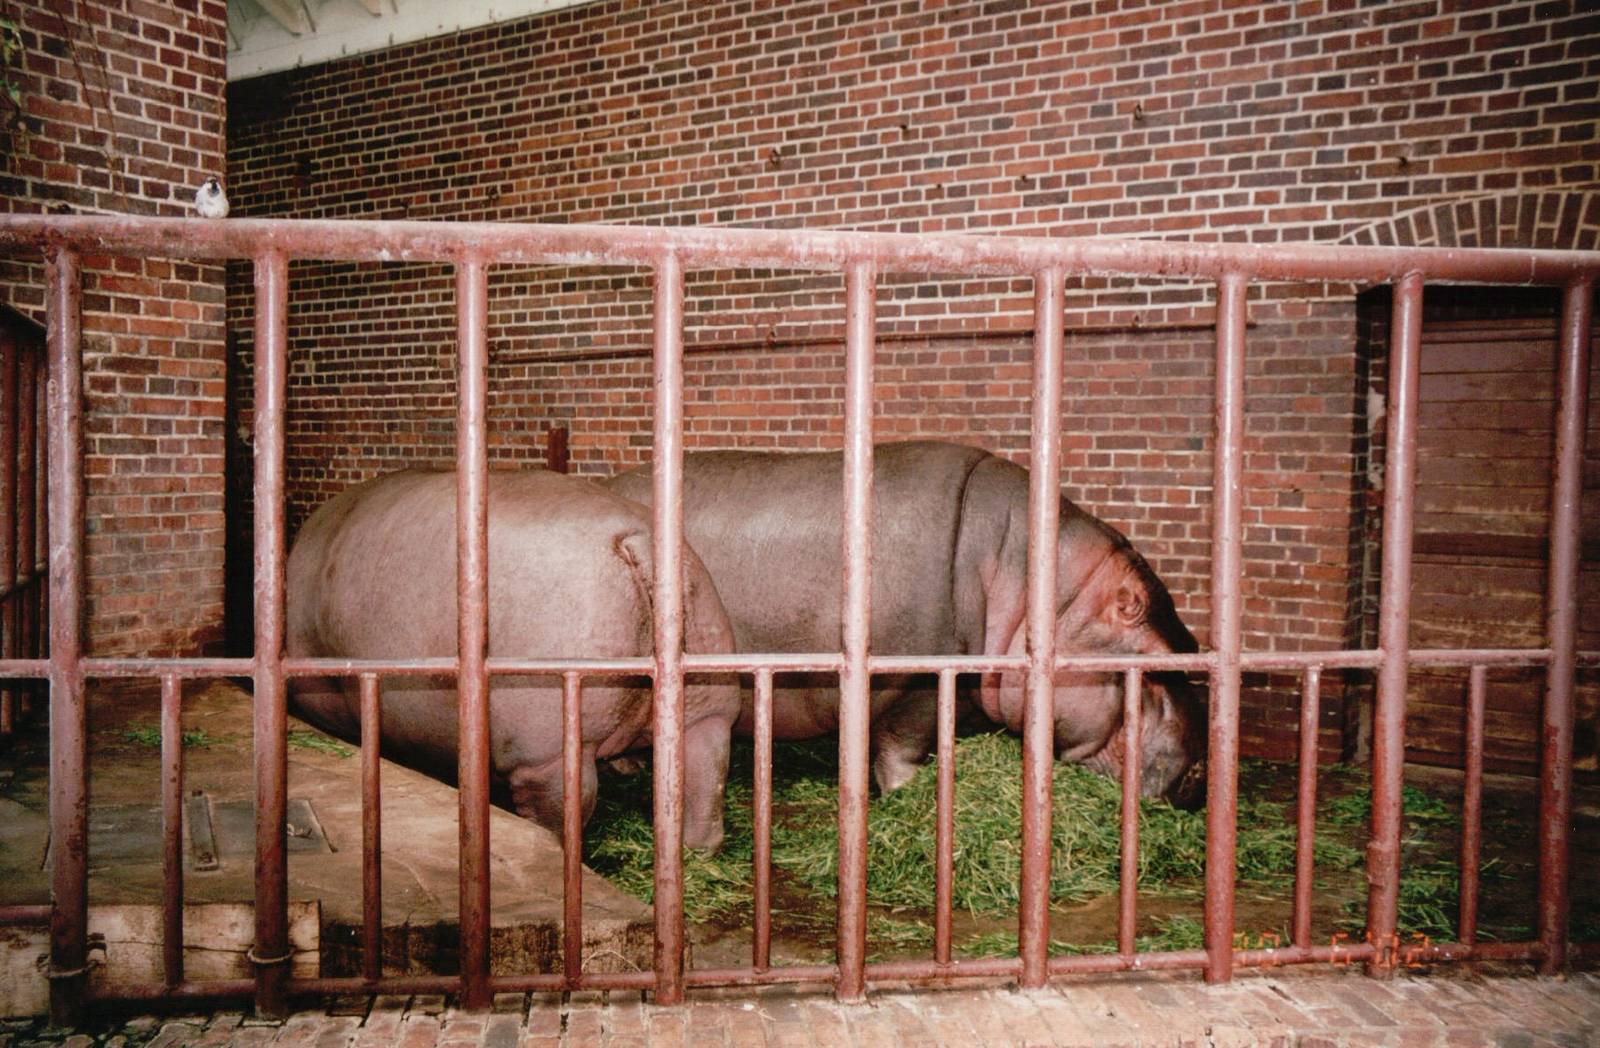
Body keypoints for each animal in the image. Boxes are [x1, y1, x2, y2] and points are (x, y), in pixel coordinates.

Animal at [285, 469, 740, 851]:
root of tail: (640, 542)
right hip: (709, 707)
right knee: (705, 779)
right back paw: (695, 851)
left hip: (548, 749)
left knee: (567, 804)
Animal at [607, 441, 1206, 807]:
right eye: (1156, 665)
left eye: (1196, 644)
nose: (1199, 779)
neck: (1042, 592)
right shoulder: (912, 679)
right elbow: (902, 746)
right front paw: (908, 795)